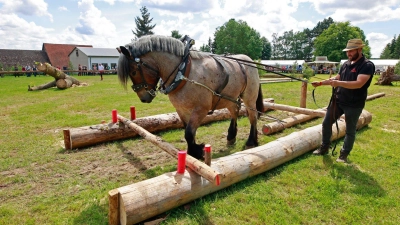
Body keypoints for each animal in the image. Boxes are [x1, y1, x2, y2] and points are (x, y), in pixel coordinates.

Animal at [117, 34, 264, 159]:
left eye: (134, 72)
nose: (144, 98)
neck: (183, 72)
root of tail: (249, 61)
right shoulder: (181, 109)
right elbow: (188, 132)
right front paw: (194, 152)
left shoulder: (201, 109)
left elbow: (188, 132)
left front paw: (197, 152)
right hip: (229, 98)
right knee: (235, 111)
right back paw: (231, 136)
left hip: (249, 98)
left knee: (252, 116)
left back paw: (251, 141)